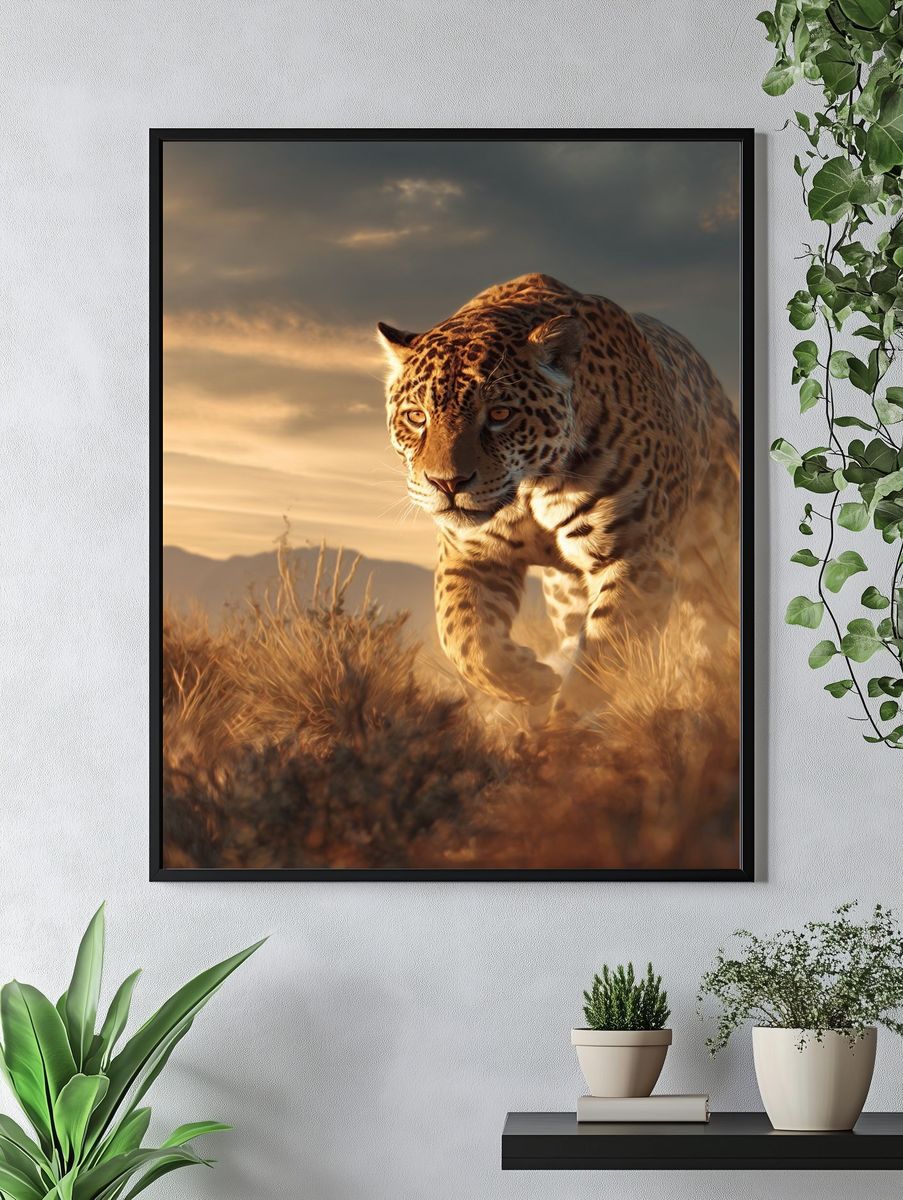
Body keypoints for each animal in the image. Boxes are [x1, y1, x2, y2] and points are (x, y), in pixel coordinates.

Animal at [378, 272, 739, 714]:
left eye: (499, 415)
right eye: (416, 416)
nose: (446, 483)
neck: (533, 486)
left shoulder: (638, 555)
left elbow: (606, 658)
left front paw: (568, 721)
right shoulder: (469, 554)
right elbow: (465, 638)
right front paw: (532, 682)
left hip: (713, 557)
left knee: (709, 634)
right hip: (565, 593)